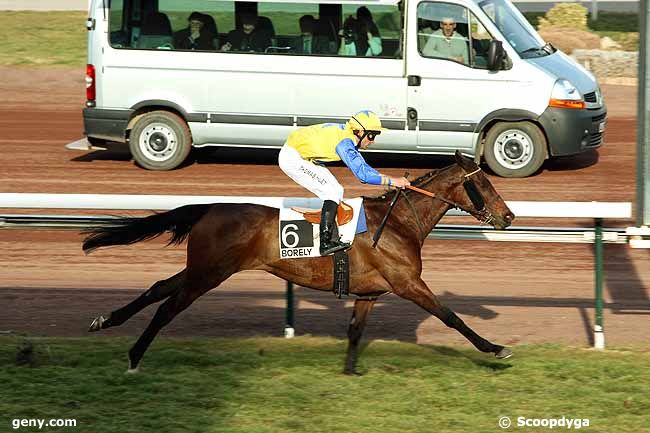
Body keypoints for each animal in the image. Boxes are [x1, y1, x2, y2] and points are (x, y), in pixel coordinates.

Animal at [83, 150, 512, 372]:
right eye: (482, 183)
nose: (507, 217)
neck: (398, 223)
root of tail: (210, 208)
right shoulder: (408, 284)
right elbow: (451, 316)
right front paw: (495, 349)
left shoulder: (369, 293)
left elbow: (355, 331)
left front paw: (349, 371)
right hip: (209, 273)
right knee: (168, 307)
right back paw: (134, 356)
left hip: (202, 268)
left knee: (159, 288)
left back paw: (106, 321)